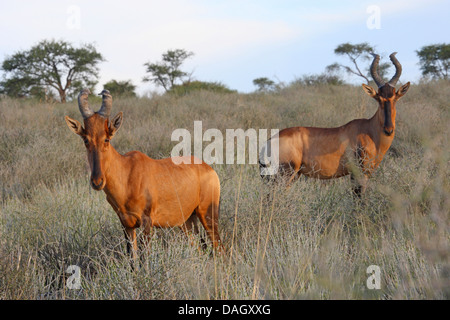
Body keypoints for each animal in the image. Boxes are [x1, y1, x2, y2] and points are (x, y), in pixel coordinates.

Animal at [64, 89, 222, 262]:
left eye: (106, 138)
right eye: (86, 140)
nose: (97, 181)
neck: (127, 173)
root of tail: (210, 169)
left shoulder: (147, 222)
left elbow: (145, 258)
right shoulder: (126, 225)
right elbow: (132, 260)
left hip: (208, 214)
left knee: (219, 248)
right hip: (187, 221)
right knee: (200, 250)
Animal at [260, 52, 412, 196]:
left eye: (395, 98)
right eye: (379, 98)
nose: (388, 129)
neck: (369, 131)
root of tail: (268, 142)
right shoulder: (359, 172)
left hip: (290, 176)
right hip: (285, 174)